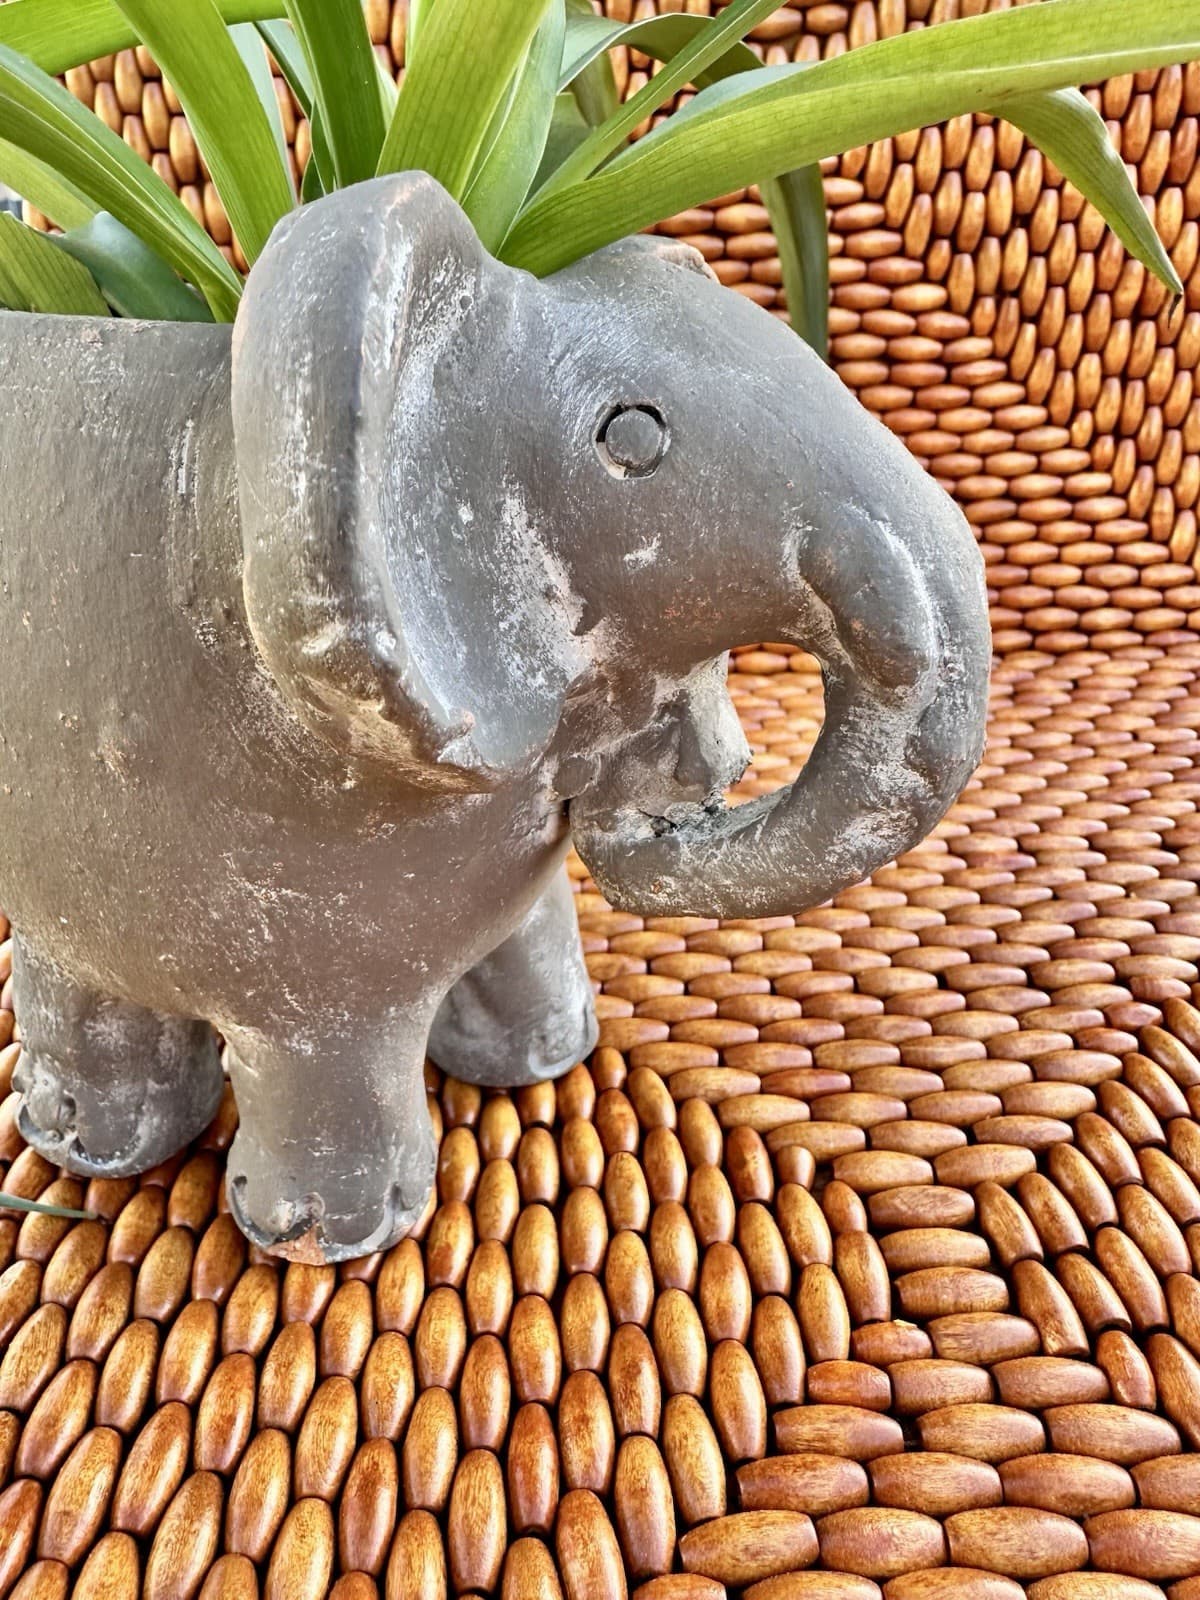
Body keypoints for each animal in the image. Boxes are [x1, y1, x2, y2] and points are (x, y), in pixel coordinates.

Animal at [0, 173, 990, 1263]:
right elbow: (328, 1041)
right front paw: (329, 1242)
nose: (663, 818)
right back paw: (88, 1151)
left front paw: (542, 1063)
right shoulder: (307, 956)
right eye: (631, 439)